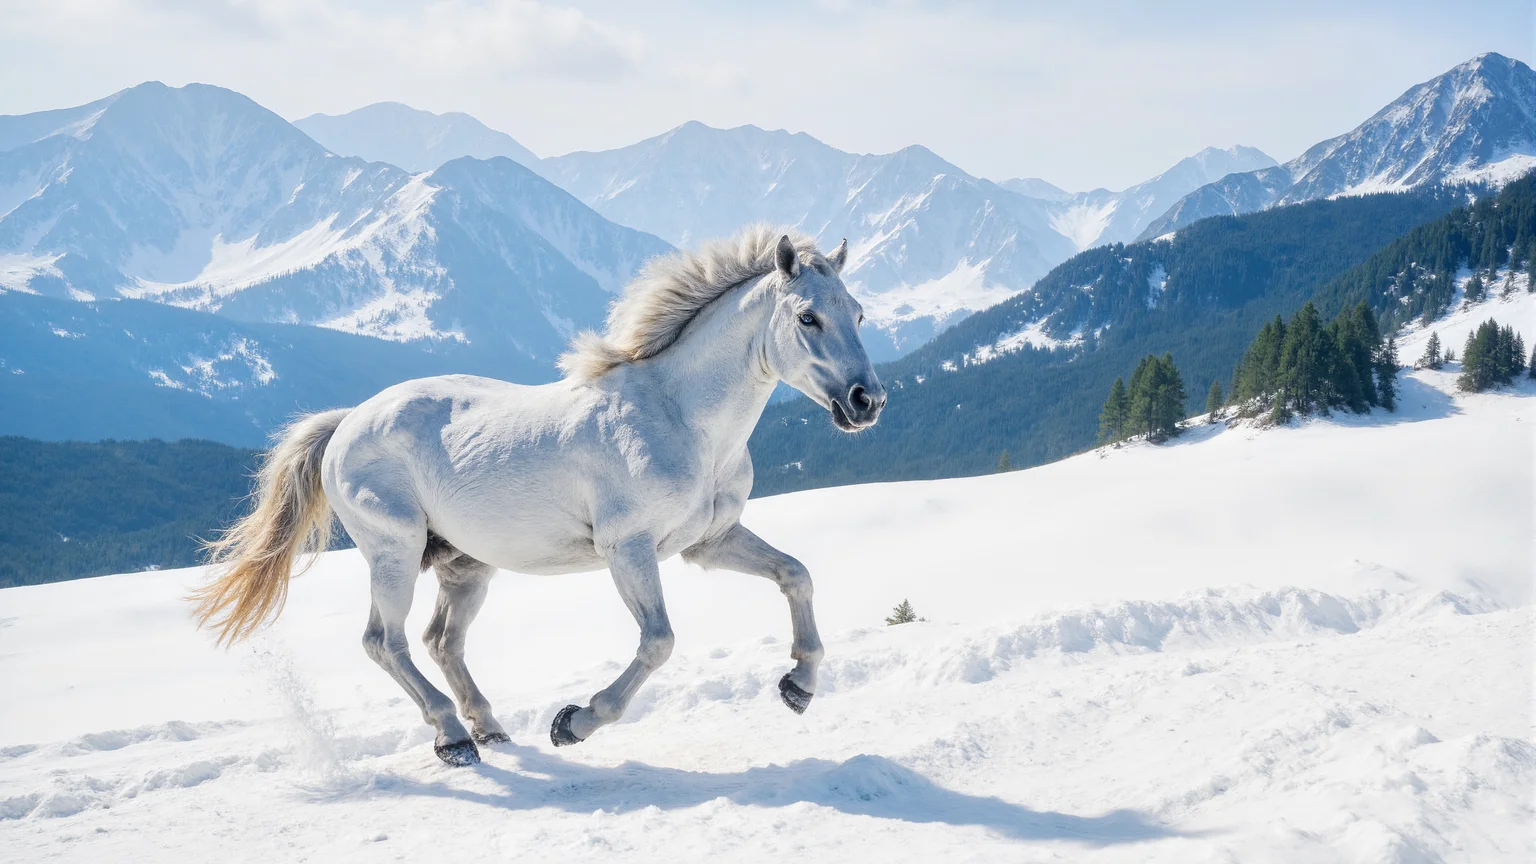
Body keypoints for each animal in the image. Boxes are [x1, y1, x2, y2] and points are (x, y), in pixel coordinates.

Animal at [189, 226, 886, 766]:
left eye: (857, 314)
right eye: (807, 316)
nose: (867, 402)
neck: (679, 418)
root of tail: (346, 424)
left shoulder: (708, 543)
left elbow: (795, 574)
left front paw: (799, 685)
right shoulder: (628, 549)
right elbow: (658, 640)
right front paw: (573, 723)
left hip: (466, 566)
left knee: (441, 641)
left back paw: (488, 729)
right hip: (394, 551)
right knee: (383, 641)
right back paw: (453, 740)